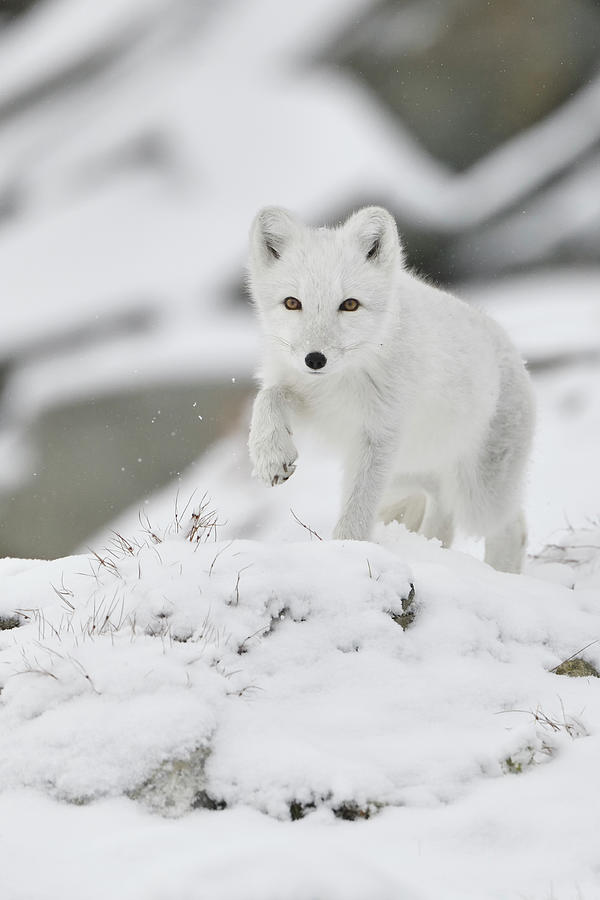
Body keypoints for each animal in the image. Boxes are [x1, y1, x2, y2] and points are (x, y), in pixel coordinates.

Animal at [246, 207, 536, 572]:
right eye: (292, 302)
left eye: (350, 304)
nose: (315, 359)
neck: (342, 379)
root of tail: (515, 355)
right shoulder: (310, 399)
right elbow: (268, 396)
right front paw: (271, 456)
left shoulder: (379, 434)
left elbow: (357, 510)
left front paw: (347, 552)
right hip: (410, 479)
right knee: (442, 516)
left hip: (477, 495)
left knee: (513, 527)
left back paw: (502, 575)